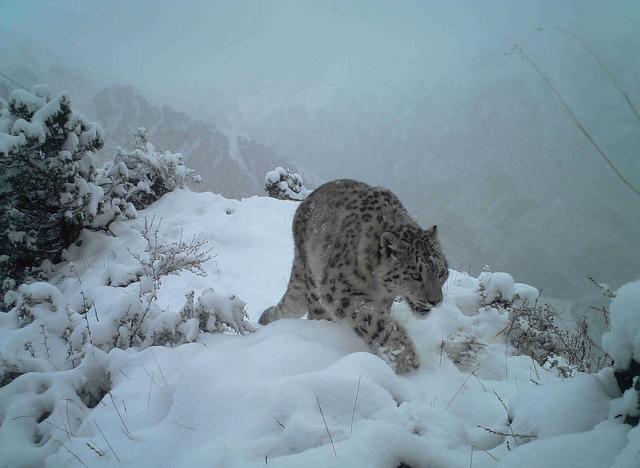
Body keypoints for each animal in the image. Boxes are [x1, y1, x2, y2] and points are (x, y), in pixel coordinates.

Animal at [258, 179, 448, 372]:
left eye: (441, 272)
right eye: (415, 275)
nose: (436, 301)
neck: (379, 288)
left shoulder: (384, 300)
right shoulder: (339, 287)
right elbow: (375, 320)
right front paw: (403, 358)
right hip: (314, 281)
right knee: (318, 313)